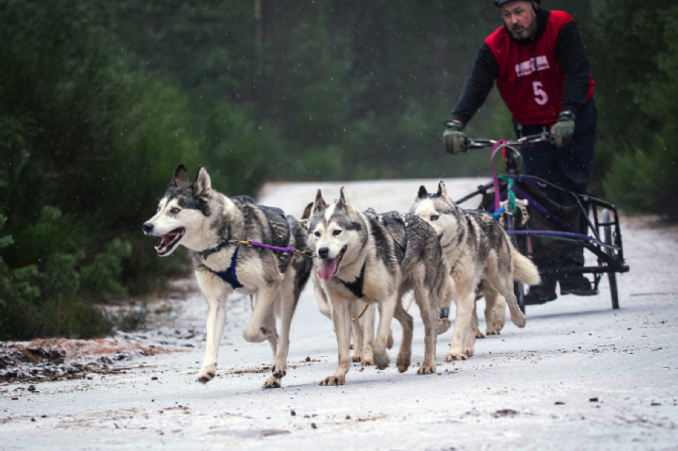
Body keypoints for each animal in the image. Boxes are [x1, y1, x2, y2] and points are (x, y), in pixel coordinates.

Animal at [145, 166, 314, 388]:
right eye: (158, 209)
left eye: (175, 210)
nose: (146, 226)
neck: (223, 241)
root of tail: (299, 224)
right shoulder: (216, 301)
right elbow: (211, 340)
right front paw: (207, 369)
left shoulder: (269, 283)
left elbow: (249, 331)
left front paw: (261, 333)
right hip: (260, 302)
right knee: (276, 335)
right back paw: (274, 376)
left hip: (284, 294)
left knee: (283, 335)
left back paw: (278, 364)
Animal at [308, 189, 452, 386]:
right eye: (317, 233)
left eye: (337, 232)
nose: (322, 251)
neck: (355, 264)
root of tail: (425, 223)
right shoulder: (341, 306)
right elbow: (343, 349)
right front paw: (339, 374)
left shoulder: (385, 299)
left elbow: (380, 339)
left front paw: (381, 359)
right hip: (397, 298)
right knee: (408, 320)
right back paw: (403, 359)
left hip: (423, 297)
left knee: (430, 331)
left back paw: (428, 364)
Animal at [412, 182, 540, 362]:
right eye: (416, 219)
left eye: (434, 217)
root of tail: (489, 215)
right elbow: (438, 320)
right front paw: (442, 329)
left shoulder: (464, 294)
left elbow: (460, 327)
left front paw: (454, 351)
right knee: (472, 322)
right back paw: (468, 346)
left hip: (499, 280)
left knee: (510, 298)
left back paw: (518, 319)